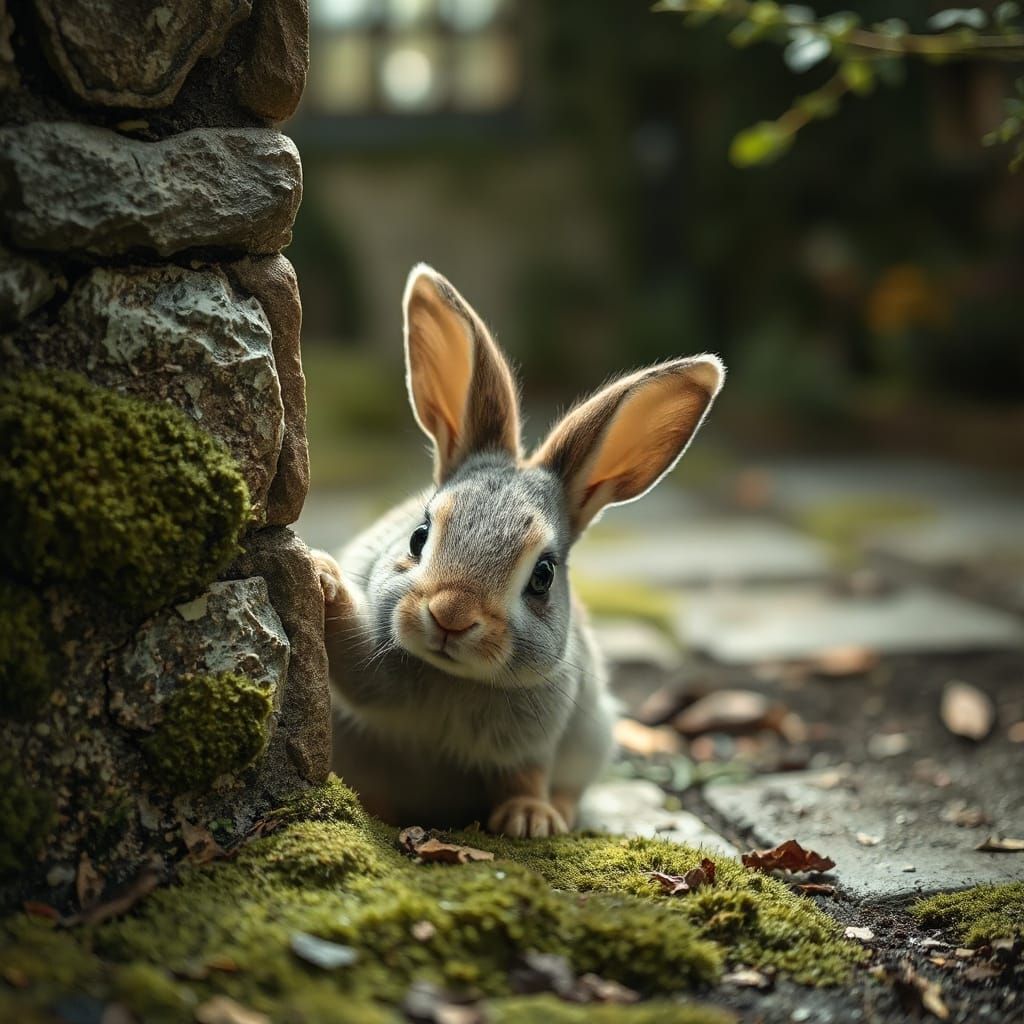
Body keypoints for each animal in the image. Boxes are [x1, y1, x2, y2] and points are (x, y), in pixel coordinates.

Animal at [313, 264, 724, 838]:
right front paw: (321, 573)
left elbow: (525, 777)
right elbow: (350, 659)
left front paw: (530, 821)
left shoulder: (533, 744)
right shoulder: (367, 669)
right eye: (419, 536)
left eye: (543, 576)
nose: (451, 616)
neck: (453, 678)